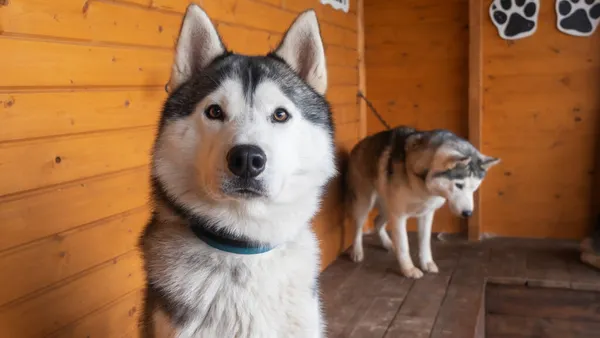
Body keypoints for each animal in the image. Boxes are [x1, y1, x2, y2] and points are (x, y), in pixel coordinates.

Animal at [344, 126, 500, 278]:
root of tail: (361, 143)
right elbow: (404, 245)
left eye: (475, 188)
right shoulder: (399, 216)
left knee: (377, 222)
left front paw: (427, 263)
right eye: (459, 185)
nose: (468, 213)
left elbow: (425, 242)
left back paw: (388, 243)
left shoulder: (426, 214)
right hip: (365, 204)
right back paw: (357, 251)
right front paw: (409, 270)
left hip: (388, 209)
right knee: (358, 228)